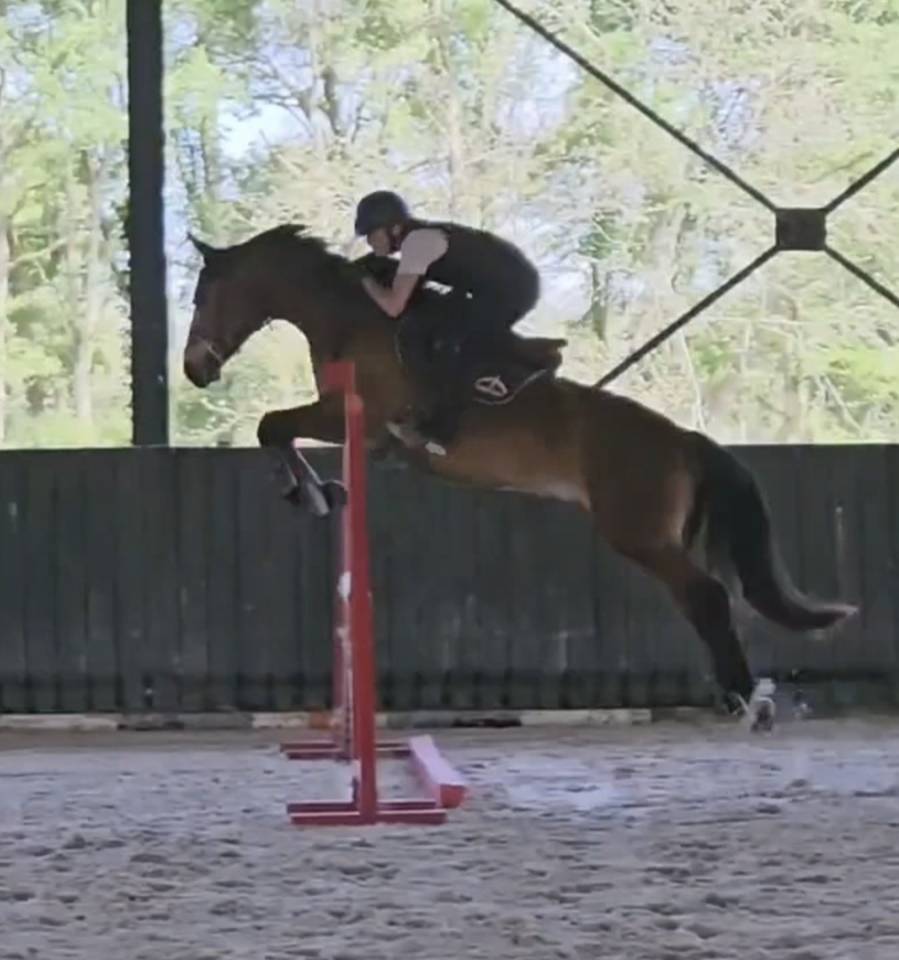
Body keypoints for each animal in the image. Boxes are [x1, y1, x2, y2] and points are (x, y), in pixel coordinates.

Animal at [182, 223, 857, 729]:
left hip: (638, 533)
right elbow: (277, 429)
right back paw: (745, 694)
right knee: (712, 600)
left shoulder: (355, 420)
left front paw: (312, 493)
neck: (349, 321)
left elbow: (272, 425)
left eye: (202, 296)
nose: (194, 369)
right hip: (667, 534)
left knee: (707, 596)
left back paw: (746, 701)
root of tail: (683, 442)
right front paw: (318, 491)